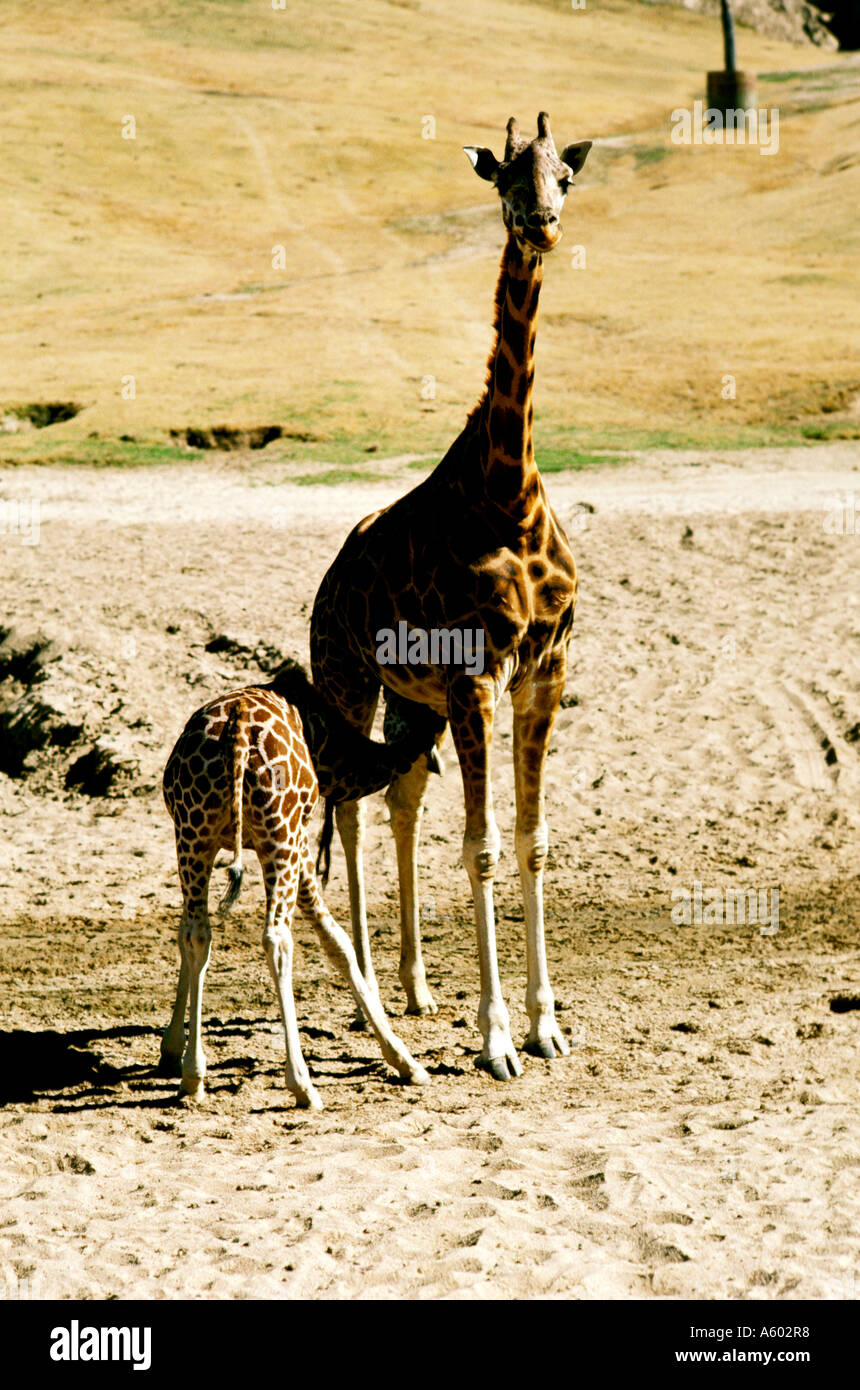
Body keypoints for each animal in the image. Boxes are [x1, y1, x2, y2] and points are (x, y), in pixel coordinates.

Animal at [159, 660, 443, 1108]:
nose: (439, 722)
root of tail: (236, 734)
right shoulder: (298, 840)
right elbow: (338, 943)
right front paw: (407, 1062)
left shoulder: (232, 841)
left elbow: (190, 941)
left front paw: (171, 1050)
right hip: (280, 834)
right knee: (277, 938)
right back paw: (302, 1083)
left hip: (193, 833)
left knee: (195, 932)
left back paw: (193, 1075)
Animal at [310, 114, 592, 1080]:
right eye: (505, 175)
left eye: (565, 176)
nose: (541, 223)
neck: (507, 489)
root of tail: (328, 580)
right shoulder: (476, 678)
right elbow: (483, 848)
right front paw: (499, 1036)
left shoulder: (544, 671)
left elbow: (535, 842)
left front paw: (547, 1025)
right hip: (350, 681)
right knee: (353, 806)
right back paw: (367, 991)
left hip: (412, 701)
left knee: (398, 799)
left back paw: (416, 987)